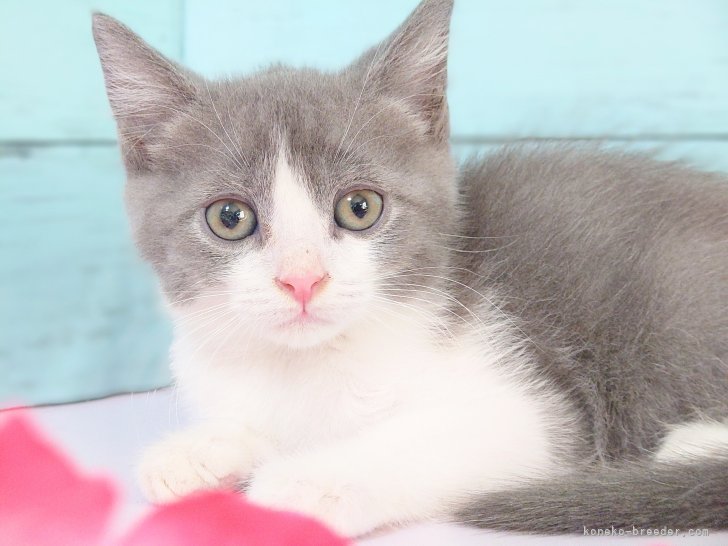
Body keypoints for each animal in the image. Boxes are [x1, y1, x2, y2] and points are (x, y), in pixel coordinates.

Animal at [92, 0, 728, 537]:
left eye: (360, 207)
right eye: (230, 217)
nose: (302, 279)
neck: (309, 364)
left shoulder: (534, 412)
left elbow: (437, 437)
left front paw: (305, 480)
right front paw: (197, 450)